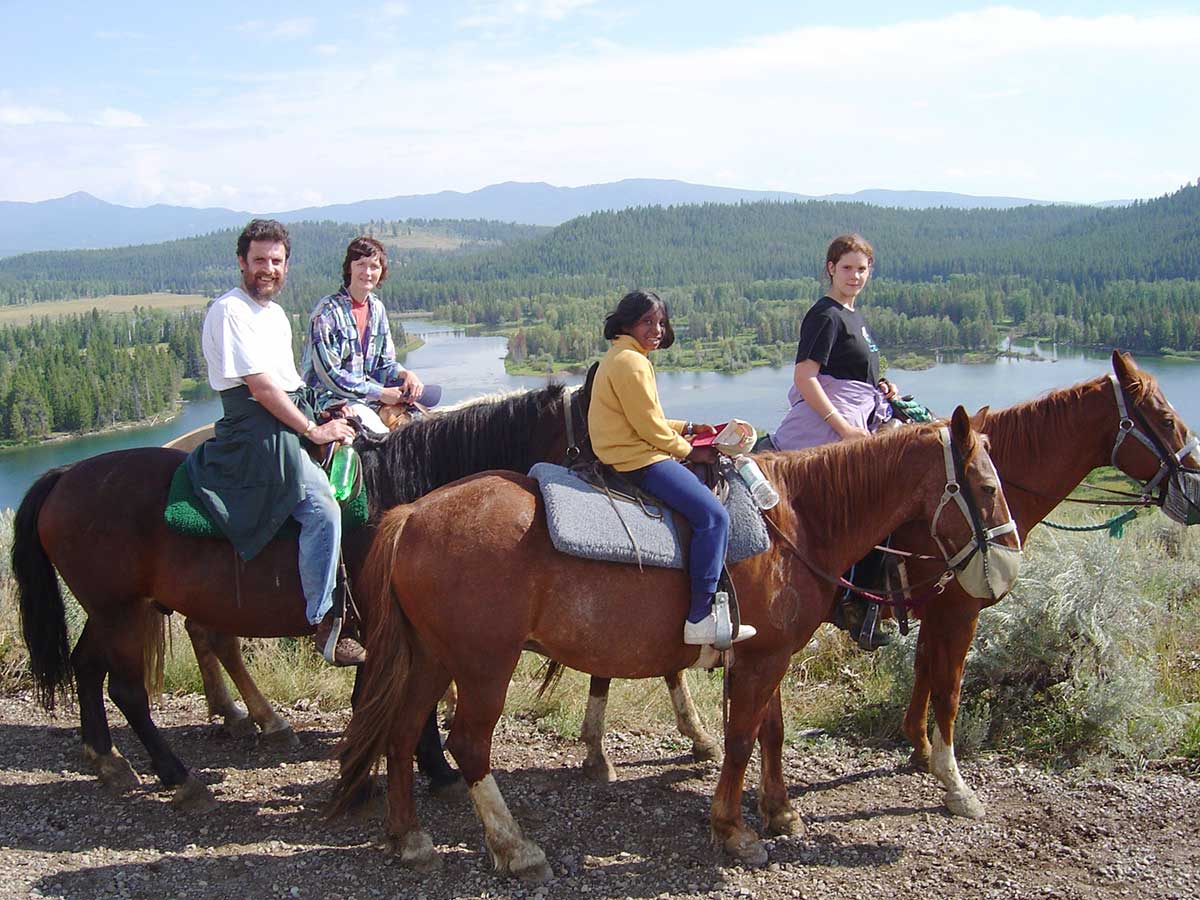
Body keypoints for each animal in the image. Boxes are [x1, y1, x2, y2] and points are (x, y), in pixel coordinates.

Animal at [10, 381, 585, 811]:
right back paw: (183, 773)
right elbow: (401, 701)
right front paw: (433, 771)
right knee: (130, 688)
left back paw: (108, 759)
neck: (411, 493)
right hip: (123, 612)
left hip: (109, 611)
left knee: (88, 665)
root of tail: (66, 474)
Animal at [333, 408, 1017, 883]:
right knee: (469, 746)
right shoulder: (763, 660)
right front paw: (734, 831)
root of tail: (412, 516)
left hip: (431, 658)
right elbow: (741, 739)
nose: (1008, 570)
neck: (795, 521)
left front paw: (780, 812)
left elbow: (771, 732)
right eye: (985, 488)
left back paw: (409, 839)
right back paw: (515, 849)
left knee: (401, 733)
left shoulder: (768, 654)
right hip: (481, 666)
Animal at [576, 350, 1195, 816]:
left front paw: (917, 746)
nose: (1194, 489)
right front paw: (952, 780)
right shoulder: (958, 609)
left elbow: (923, 672)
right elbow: (948, 688)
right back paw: (612, 749)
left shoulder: (934, 607)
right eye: (1166, 420)